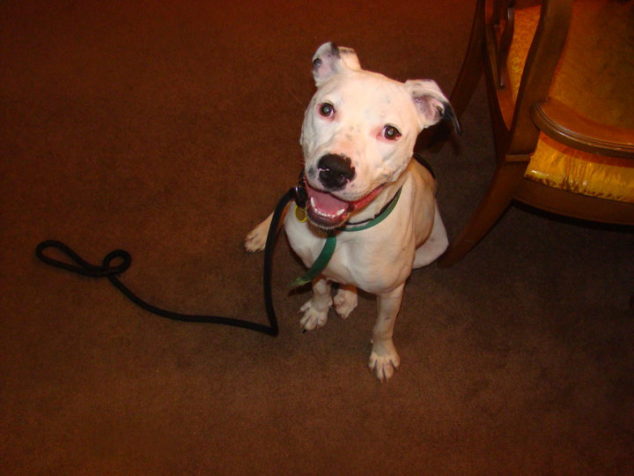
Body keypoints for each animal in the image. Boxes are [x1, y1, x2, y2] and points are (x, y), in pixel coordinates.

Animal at [244, 42, 456, 382]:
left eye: (391, 132)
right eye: (327, 109)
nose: (334, 169)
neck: (343, 233)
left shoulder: (392, 292)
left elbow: (383, 327)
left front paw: (382, 354)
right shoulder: (313, 262)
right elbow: (319, 289)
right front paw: (318, 310)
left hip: (433, 249)